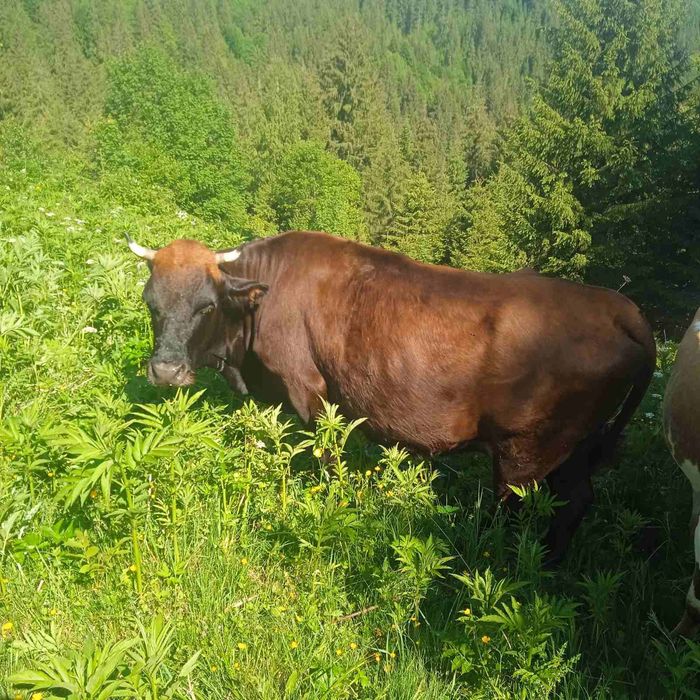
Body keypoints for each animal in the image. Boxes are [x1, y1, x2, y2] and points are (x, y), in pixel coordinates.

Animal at [126, 230, 656, 565]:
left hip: (527, 450)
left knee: (516, 509)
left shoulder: (309, 390)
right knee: (576, 502)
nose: (165, 371)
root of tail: (616, 305)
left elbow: (327, 460)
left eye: (206, 305)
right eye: (151, 303)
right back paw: (549, 565)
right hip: (574, 447)